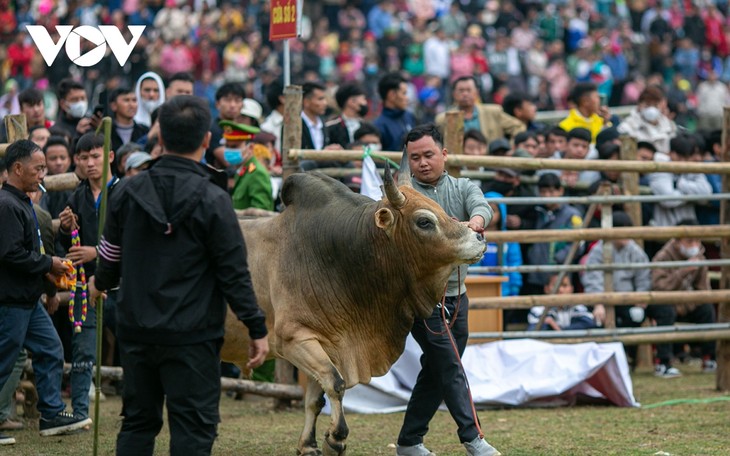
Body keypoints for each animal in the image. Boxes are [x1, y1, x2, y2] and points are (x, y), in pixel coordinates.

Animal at [219, 159, 486, 454]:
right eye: (424, 221)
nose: (478, 238)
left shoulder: (328, 343)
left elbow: (315, 398)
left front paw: (309, 445)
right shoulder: (294, 339)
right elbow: (336, 384)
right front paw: (336, 438)